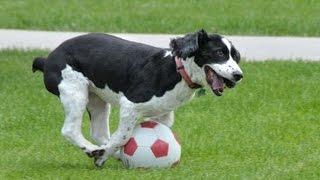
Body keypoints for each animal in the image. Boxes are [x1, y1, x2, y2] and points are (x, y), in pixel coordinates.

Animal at [31, 29, 242, 166]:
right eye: (219, 53)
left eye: (236, 57)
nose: (239, 75)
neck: (175, 70)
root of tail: (47, 59)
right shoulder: (130, 105)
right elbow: (123, 136)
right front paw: (101, 157)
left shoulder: (163, 114)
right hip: (74, 92)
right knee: (70, 130)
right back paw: (93, 150)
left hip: (97, 100)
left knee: (98, 132)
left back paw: (110, 154)